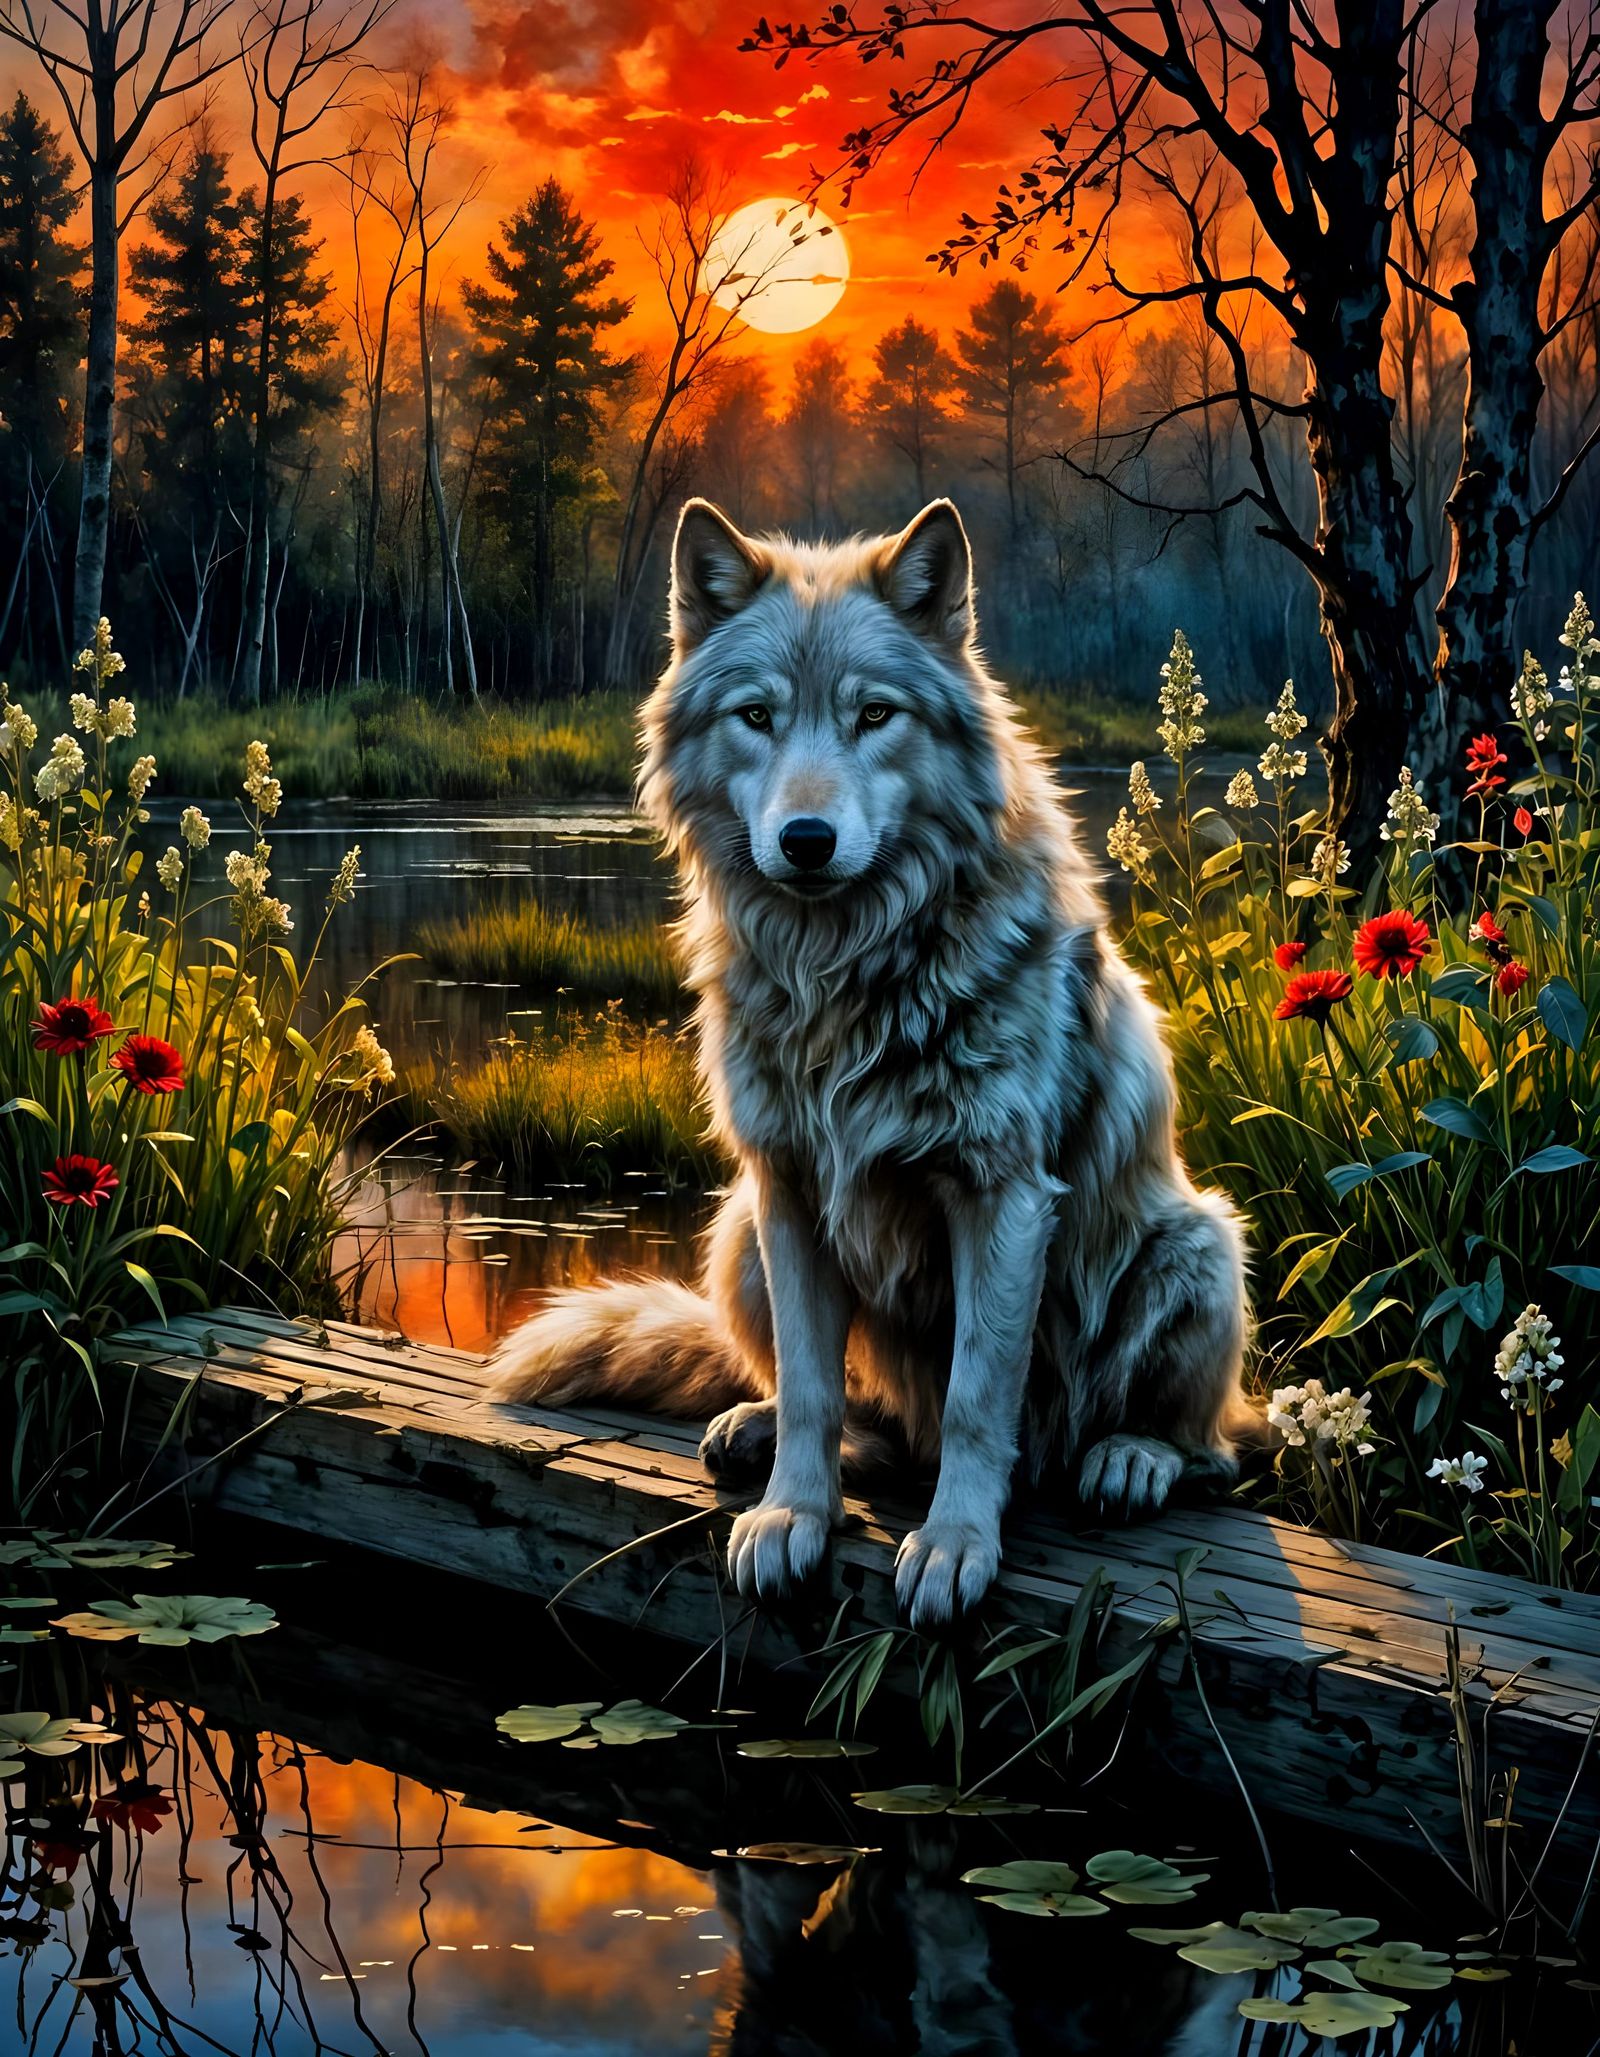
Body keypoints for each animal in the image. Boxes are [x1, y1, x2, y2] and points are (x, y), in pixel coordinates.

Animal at [493, 497, 1251, 1626]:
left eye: (875, 715)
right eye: (757, 716)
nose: (806, 838)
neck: (845, 975)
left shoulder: (1003, 1199)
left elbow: (979, 1400)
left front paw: (954, 1544)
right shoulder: (790, 1189)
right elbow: (814, 1387)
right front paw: (792, 1514)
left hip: (1196, 1243)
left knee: (1212, 1447)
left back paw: (1132, 1458)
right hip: (736, 1233)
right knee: (861, 1418)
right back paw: (758, 1427)